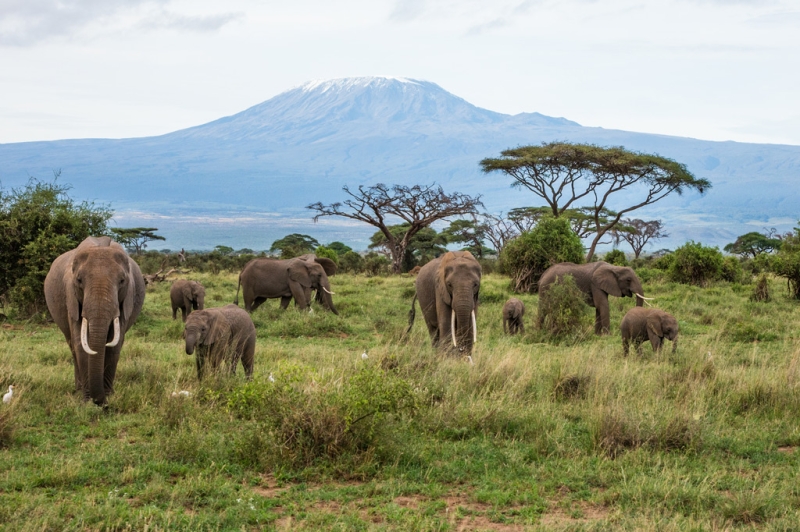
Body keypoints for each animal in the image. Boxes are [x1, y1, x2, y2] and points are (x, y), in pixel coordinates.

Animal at [45, 235, 145, 406]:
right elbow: (81, 345)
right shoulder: (71, 297)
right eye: (79, 280)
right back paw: (78, 390)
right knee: (72, 345)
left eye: (122, 281)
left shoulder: (126, 300)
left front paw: (107, 398)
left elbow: (114, 345)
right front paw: (87, 401)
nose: (100, 402)